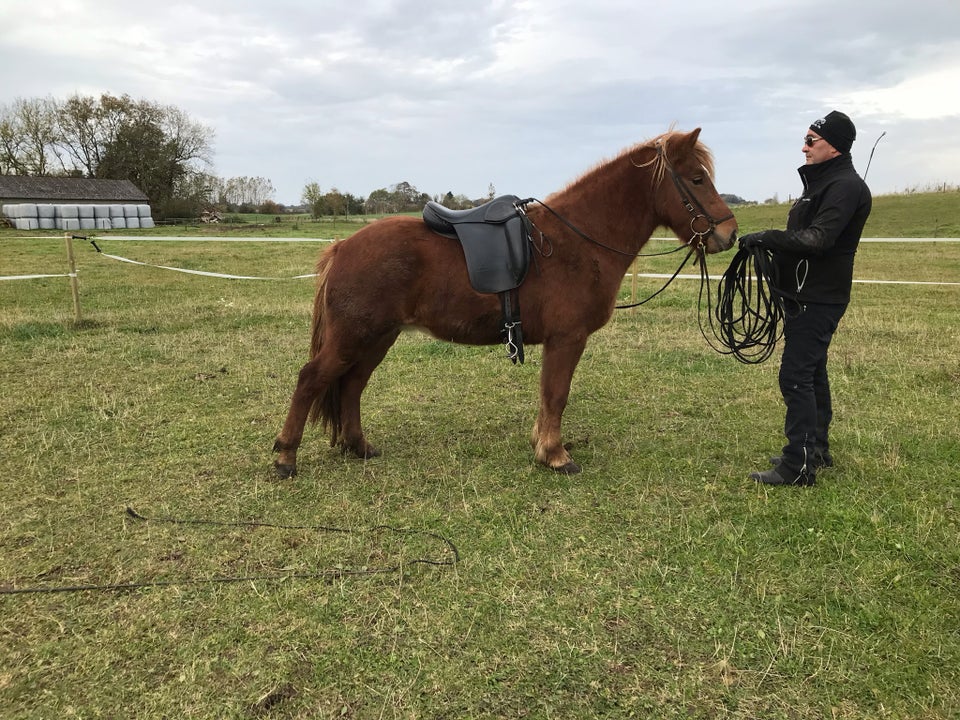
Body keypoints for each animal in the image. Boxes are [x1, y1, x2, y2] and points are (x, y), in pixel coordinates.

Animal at [274, 129, 740, 478]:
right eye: (697, 178)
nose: (729, 234)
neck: (578, 240)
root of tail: (342, 247)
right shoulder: (567, 339)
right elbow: (556, 394)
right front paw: (555, 455)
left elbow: (549, 396)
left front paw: (543, 445)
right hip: (354, 337)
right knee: (311, 379)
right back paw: (285, 457)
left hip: (377, 338)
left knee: (352, 384)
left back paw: (358, 446)